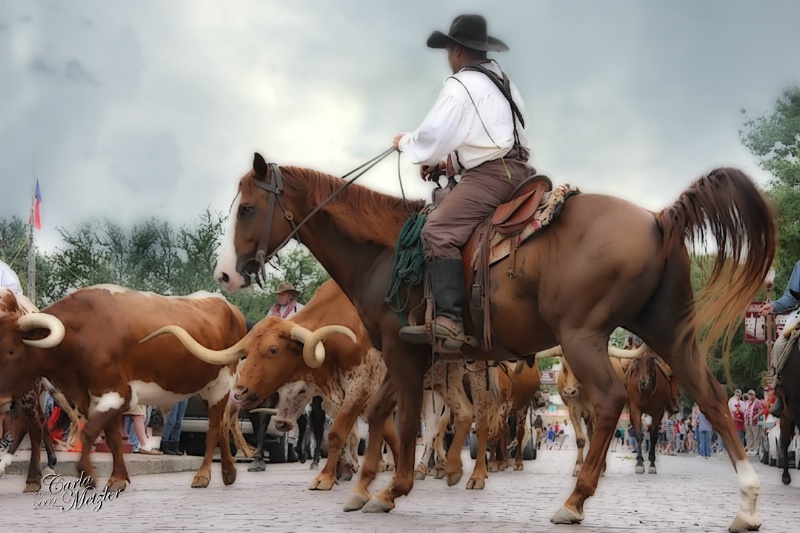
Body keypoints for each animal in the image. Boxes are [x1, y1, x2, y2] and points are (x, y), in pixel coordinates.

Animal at [0, 282, 248, 490]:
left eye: (12, 350)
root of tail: (228, 305)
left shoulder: (119, 393)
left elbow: (89, 432)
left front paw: (88, 474)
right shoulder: (95, 398)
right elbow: (112, 438)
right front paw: (118, 477)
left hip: (221, 385)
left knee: (214, 429)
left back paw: (203, 475)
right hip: (209, 390)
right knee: (223, 426)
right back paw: (228, 472)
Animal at [214, 152, 776, 528]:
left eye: (247, 209)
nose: (225, 274)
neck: (382, 253)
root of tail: (659, 219)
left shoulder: (400, 351)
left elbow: (398, 420)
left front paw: (391, 488)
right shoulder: (411, 356)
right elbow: (380, 417)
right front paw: (366, 487)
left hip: (582, 336)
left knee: (611, 401)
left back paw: (574, 500)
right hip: (671, 334)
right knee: (713, 398)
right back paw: (748, 503)